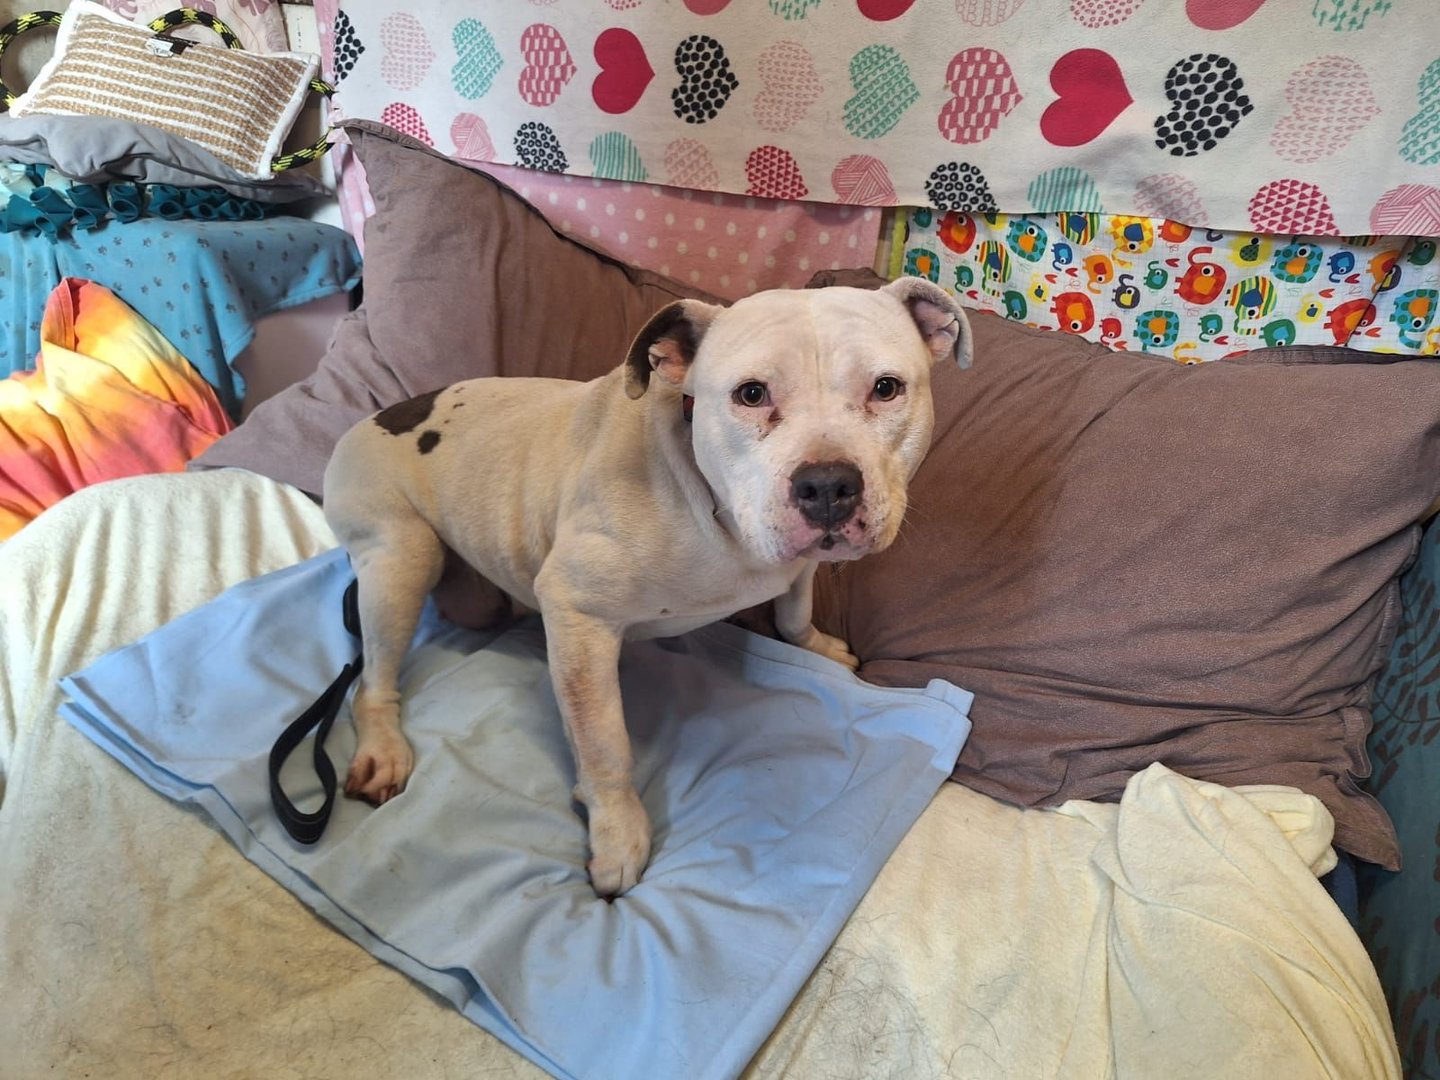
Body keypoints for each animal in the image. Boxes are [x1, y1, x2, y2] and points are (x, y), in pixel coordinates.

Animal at [321, 277, 973, 897]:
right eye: (751, 394)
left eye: (885, 388)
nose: (828, 485)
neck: (711, 505)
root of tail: (375, 417)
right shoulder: (579, 614)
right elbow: (604, 741)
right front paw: (617, 832)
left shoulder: (797, 566)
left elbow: (793, 611)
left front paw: (816, 645)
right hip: (402, 557)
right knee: (372, 679)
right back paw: (382, 747)